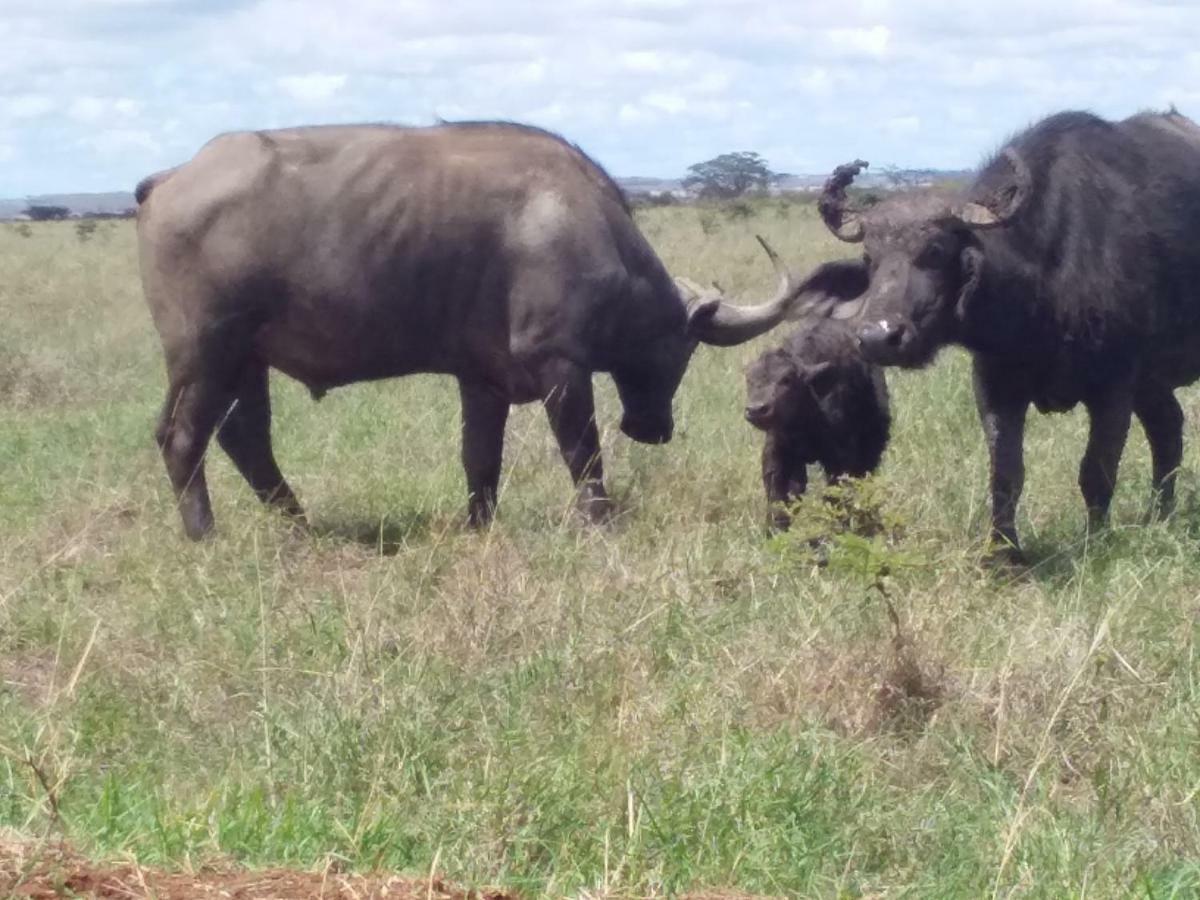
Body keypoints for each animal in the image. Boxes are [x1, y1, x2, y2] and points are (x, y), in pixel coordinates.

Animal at [133, 122, 825, 540]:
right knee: (183, 437)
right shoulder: (560, 368)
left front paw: (478, 525)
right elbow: (583, 452)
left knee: (245, 438)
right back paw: (205, 535)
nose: (652, 429)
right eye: (676, 351)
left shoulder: (482, 382)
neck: (585, 225)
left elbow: (480, 459)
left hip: (246, 362)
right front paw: (598, 523)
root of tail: (170, 179)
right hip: (206, 356)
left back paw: (300, 525)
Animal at [739, 316, 892, 528]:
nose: (756, 409)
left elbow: (835, 496)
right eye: (749, 379)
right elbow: (779, 500)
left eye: (787, 379)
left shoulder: (840, 459)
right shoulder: (779, 453)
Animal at [801, 108, 1200, 554]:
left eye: (935, 251)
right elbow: (1006, 473)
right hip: (1152, 382)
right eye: (871, 258)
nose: (878, 337)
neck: (1047, 279)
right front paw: (1003, 551)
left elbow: (1096, 471)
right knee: (1168, 429)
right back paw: (1159, 515)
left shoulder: (1114, 386)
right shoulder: (995, 382)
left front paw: (1094, 540)